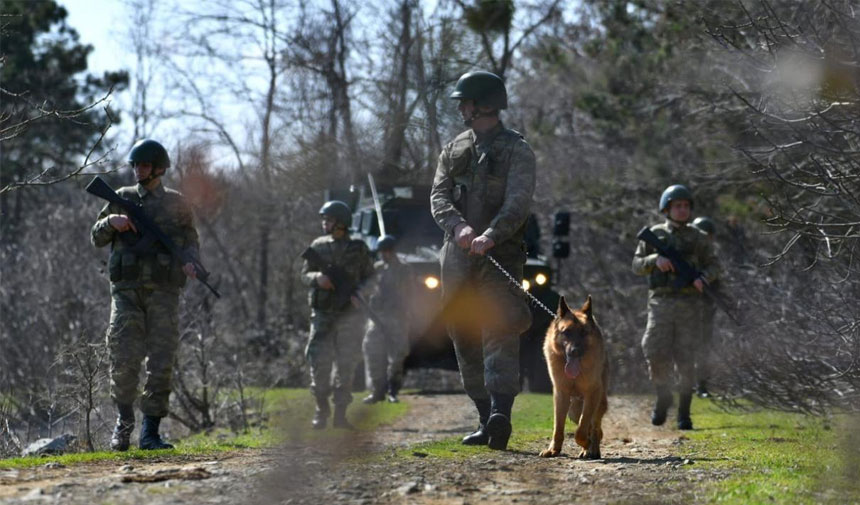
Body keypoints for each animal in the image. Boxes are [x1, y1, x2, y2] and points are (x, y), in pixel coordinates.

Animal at [536, 294, 612, 458]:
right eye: (567, 332)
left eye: (584, 332)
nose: (575, 351)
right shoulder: (561, 395)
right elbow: (558, 427)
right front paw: (554, 450)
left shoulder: (592, 394)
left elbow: (581, 430)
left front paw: (587, 444)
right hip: (574, 410)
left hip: (597, 402)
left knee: (595, 427)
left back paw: (592, 449)